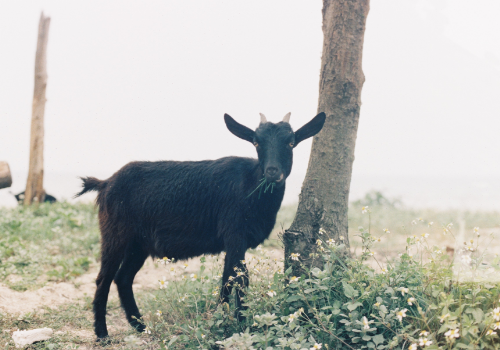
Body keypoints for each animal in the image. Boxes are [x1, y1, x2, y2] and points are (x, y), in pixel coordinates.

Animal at [73, 112, 324, 340]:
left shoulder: (233, 242)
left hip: (138, 245)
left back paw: (141, 327)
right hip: (115, 234)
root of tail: (105, 183)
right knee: (104, 278)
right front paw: (240, 324)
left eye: (291, 142)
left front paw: (223, 320)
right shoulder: (235, 234)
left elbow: (227, 279)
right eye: (256, 142)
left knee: (123, 278)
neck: (252, 185)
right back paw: (102, 333)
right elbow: (240, 279)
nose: (272, 172)